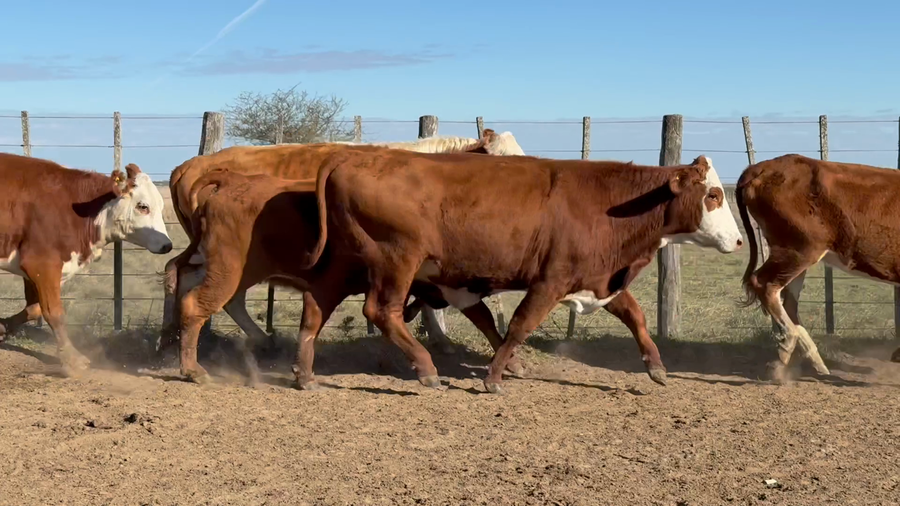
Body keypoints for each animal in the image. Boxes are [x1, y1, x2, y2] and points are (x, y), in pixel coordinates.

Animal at [0, 153, 172, 375]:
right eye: (143, 206)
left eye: (160, 205)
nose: (167, 245)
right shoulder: (41, 264)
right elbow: (54, 312)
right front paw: (73, 359)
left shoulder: (36, 270)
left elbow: (34, 308)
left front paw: (2, 327)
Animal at [297, 146, 744, 393]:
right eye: (713, 195)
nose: (739, 241)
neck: (607, 202)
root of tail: (352, 156)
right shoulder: (551, 280)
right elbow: (520, 324)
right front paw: (494, 378)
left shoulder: (597, 277)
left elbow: (635, 315)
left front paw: (656, 367)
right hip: (396, 261)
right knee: (381, 311)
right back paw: (426, 369)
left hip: (344, 264)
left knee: (315, 307)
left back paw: (305, 374)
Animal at [736, 153, 900, 381]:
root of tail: (762, 167)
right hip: (800, 249)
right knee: (764, 284)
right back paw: (787, 346)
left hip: (796, 257)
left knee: (789, 302)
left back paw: (814, 360)